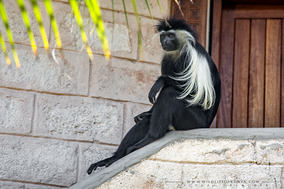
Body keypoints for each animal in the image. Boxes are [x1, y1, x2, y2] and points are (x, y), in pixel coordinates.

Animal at [87, 17, 221, 174]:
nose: (165, 41)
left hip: (193, 122)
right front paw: (145, 113)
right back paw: (114, 158)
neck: (178, 50)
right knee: (146, 121)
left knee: (169, 93)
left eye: (171, 35)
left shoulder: (191, 56)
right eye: (163, 36)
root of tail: (206, 124)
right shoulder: (167, 58)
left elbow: (195, 91)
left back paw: (151, 137)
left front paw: (160, 82)